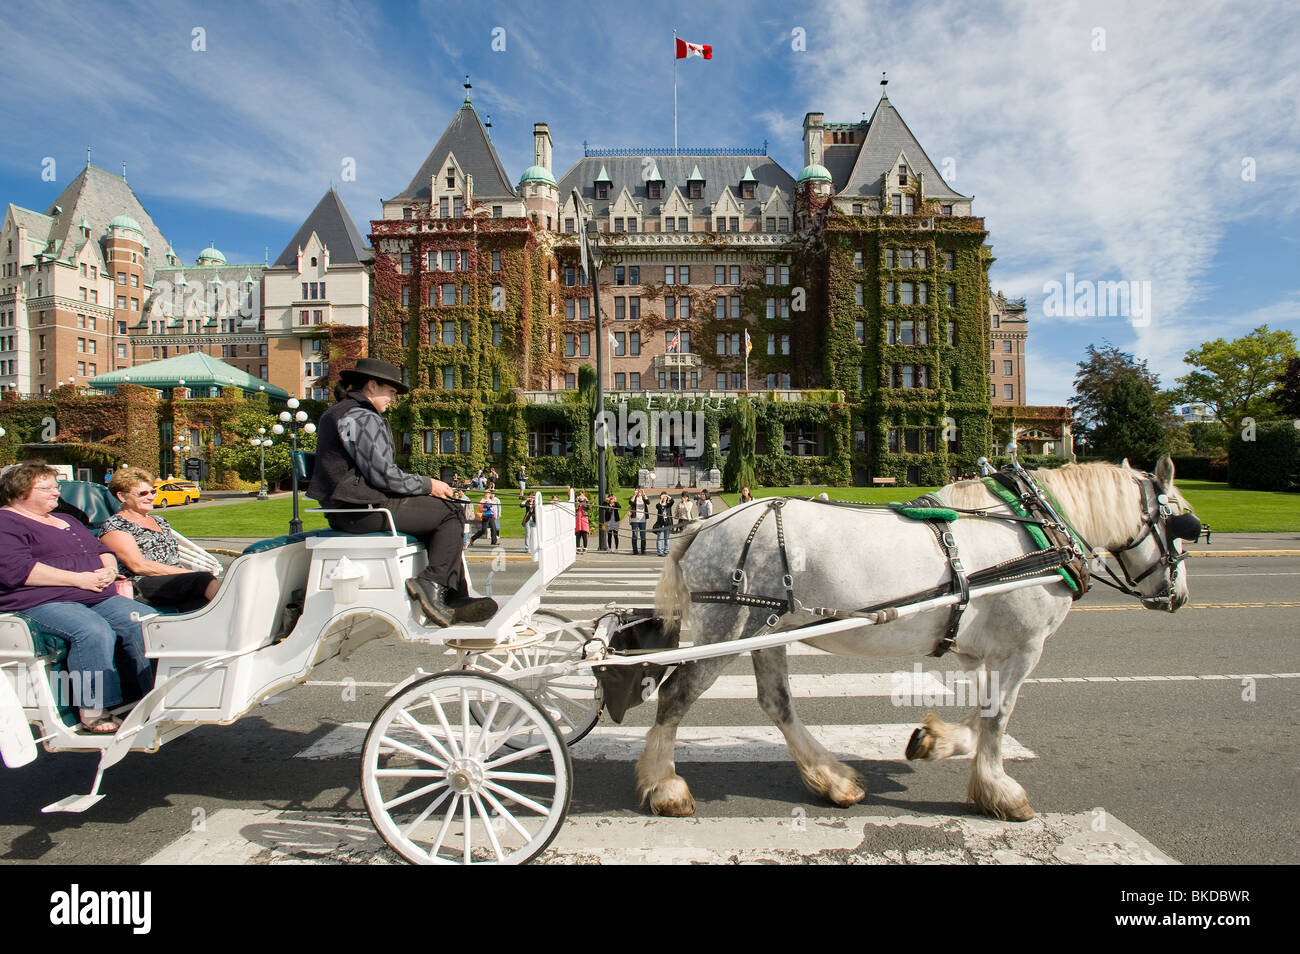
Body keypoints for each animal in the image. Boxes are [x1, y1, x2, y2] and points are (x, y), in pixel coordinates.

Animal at [639, 454, 1196, 821]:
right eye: (1183, 524)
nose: (1178, 596)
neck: (1037, 530)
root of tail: (705, 524)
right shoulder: (1024, 646)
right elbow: (1000, 715)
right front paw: (1000, 791)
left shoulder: (979, 647)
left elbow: (981, 715)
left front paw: (934, 741)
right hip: (728, 625)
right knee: (677, 695)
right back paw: (665, 786)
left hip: (767, 629)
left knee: (777, 703)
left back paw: (834, 780)